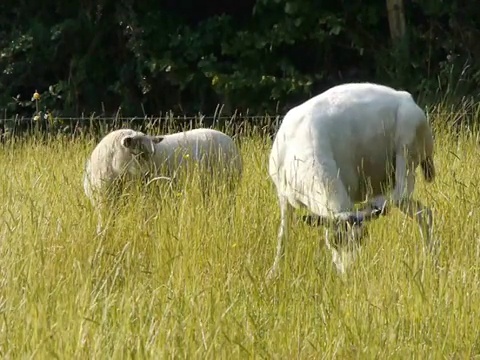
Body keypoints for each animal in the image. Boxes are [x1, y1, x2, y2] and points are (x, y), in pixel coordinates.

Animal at [83, 128, 244, 232]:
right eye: (138, 154)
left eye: (150, 153)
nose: (149, 176)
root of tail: (230, 140)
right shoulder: (104, 202)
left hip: (227, 185)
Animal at [268, 83, 436, 278]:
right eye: (334, 241)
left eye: (362, 239)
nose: (349, 274)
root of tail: (407, 98)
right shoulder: (283, 197)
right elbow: (283, 236)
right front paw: (274, 272)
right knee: (424, 213)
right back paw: (431, 258)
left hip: (407, 150)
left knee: (401, 195)